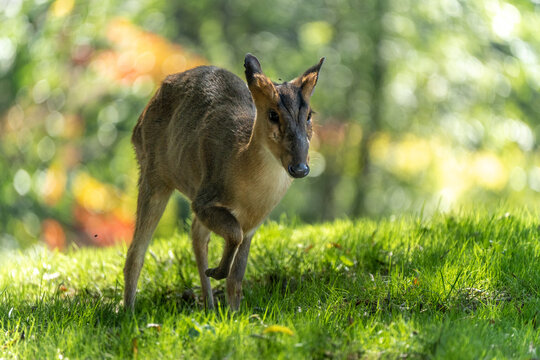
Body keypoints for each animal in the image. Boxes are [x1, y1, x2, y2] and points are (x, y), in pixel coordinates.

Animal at [124, 53, 322, 310]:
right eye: (272, 114)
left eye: (309, 115)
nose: (300, 168)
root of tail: (137, 126)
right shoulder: (204, 199)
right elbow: (233, 234)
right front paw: (218, 272)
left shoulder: (253, 224)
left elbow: (236, 278)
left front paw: (234, 312)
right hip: (153, 173)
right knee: (137, 250)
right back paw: (127, 311)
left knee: (196, 235)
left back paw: (209, 305)